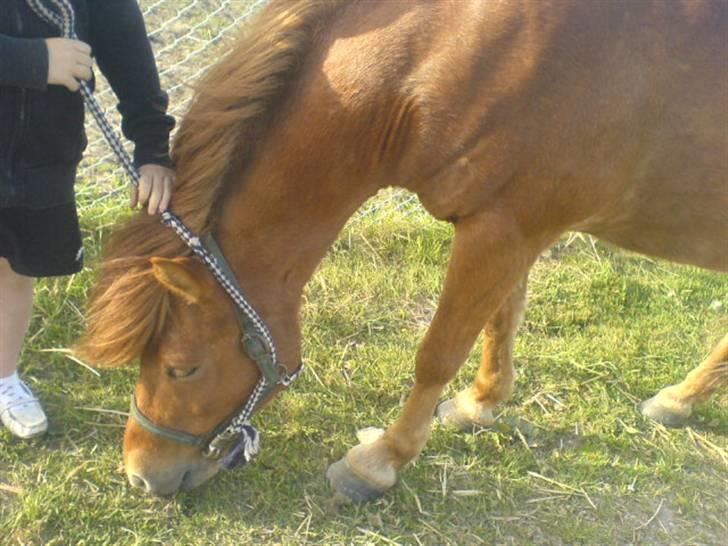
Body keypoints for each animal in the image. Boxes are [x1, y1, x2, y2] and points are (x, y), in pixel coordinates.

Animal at [77, 0, 724, 492]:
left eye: (181, 367)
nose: (142, 475)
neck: (453, 51)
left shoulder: (504, 226)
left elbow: (438, 352)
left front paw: (379, 461)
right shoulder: (512, 227)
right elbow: (502, 317)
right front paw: (480, 403)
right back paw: (680, 399)